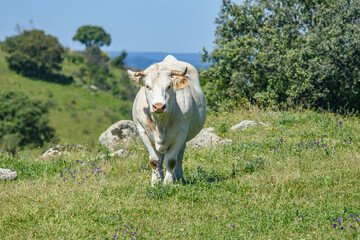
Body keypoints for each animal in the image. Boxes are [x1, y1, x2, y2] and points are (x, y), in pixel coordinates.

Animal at [128, 55, 207, 185]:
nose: (159, 106)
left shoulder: (181, 132)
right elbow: (155, 160)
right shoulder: (143, 131)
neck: (160, 124)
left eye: (169, 86)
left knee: (179, 155)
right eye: (147, 86)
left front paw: (168, 182)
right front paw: (155, 182)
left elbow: (170, 160)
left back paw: (178, 176)